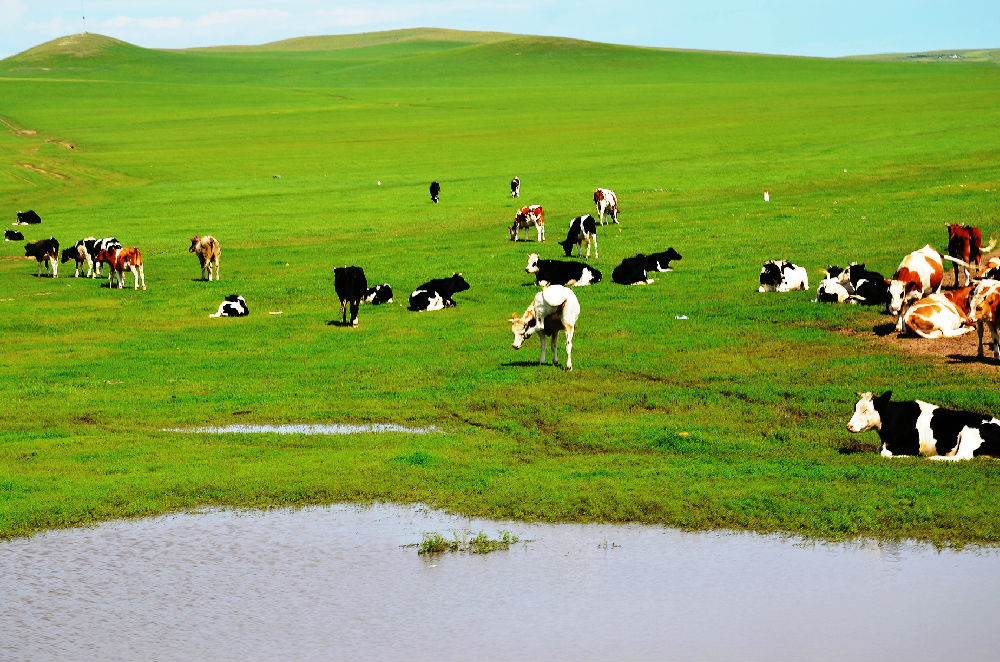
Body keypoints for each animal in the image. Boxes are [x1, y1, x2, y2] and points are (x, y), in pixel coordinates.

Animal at [844, 390, 1000, 462]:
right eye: (855, 407)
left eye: (866, 410)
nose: (849, 426)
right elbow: (879, 450)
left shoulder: (912, 446)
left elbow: (885, 453)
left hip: (968, 436)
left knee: (962, 457)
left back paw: (934, 458)